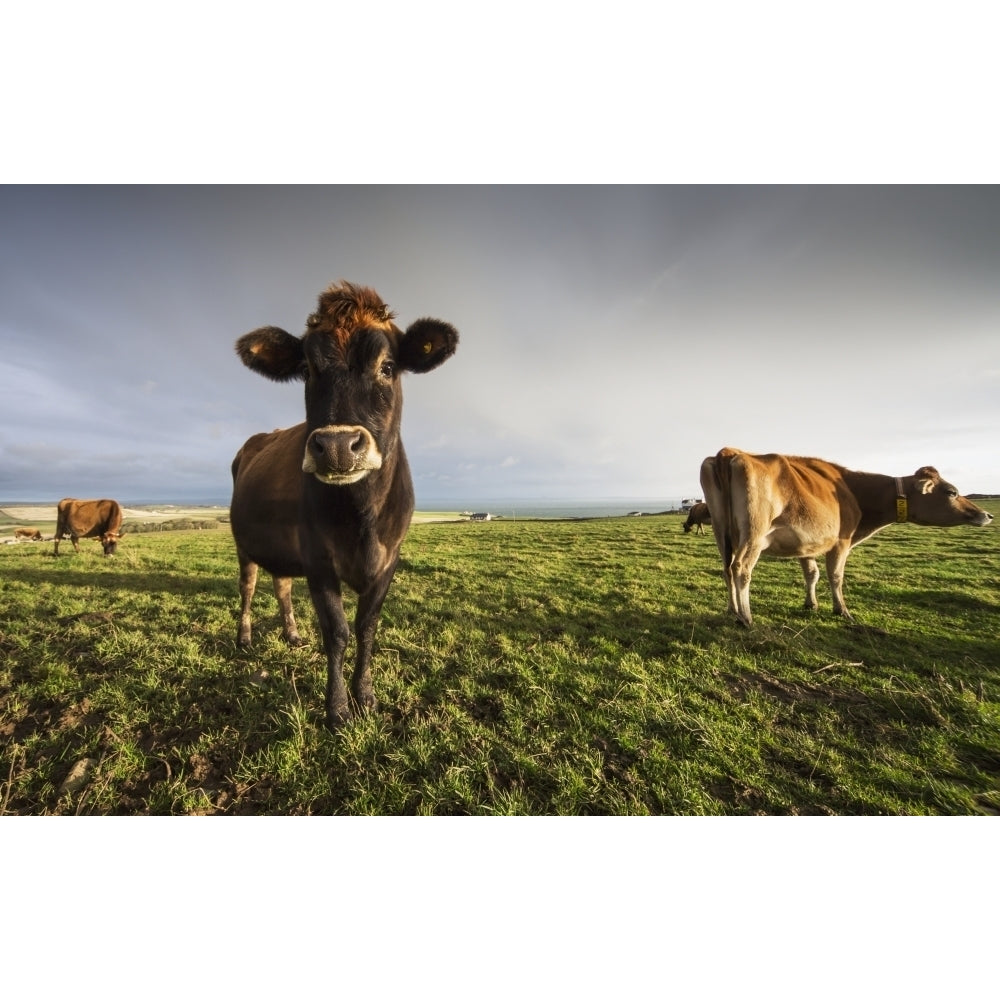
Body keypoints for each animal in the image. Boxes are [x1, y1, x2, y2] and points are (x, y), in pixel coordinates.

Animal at [229, 278, 458, 732]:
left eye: (387, 367)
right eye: (307, 369)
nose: (336, 446)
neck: (362, 519)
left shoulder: (389, 559)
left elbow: (366, 627)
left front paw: (364, 696)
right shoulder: (318, 559)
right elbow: (336, 632)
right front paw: (336, 708)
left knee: (281, 585)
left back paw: (292, 634)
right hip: (244, 544)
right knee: (248, 587)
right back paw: (244, 637)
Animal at [696, 448, 992, 624]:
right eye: (952, 492)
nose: (986, 515)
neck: (853, 490)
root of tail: (730, 452)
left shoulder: (805, 543)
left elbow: (812, 573)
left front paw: (811, 604)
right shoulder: (842, 541)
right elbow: (835, 576)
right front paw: (842, 610)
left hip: (720, 529)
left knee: (726, 568)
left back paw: (732, 609)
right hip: (754, 532)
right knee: (741, 568)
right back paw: (745, 617)